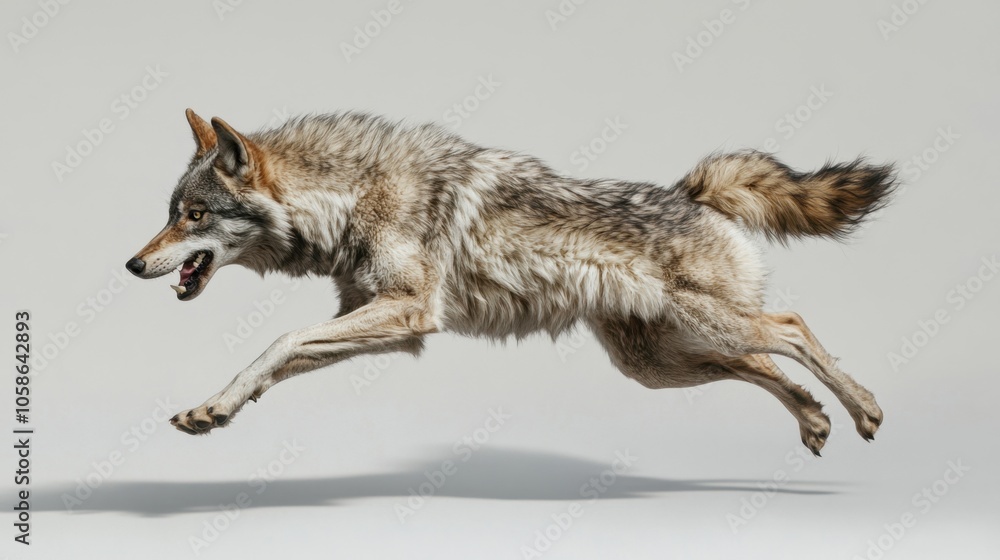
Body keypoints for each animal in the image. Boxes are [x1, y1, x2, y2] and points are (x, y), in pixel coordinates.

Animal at [126, 109, 895, 455]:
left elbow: (281, 339)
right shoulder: (384, 322)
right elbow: (276, 359)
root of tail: (690, 192)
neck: (350, 198)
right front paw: (216, 408)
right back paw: (814, 419)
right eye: (170, 214)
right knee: (765, 364)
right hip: (657, 364)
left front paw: (219, 404)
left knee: (792, 330)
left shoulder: (407, 312)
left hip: (702, 331)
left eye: (193, 215)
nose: (132, 265)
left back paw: (861, 410)